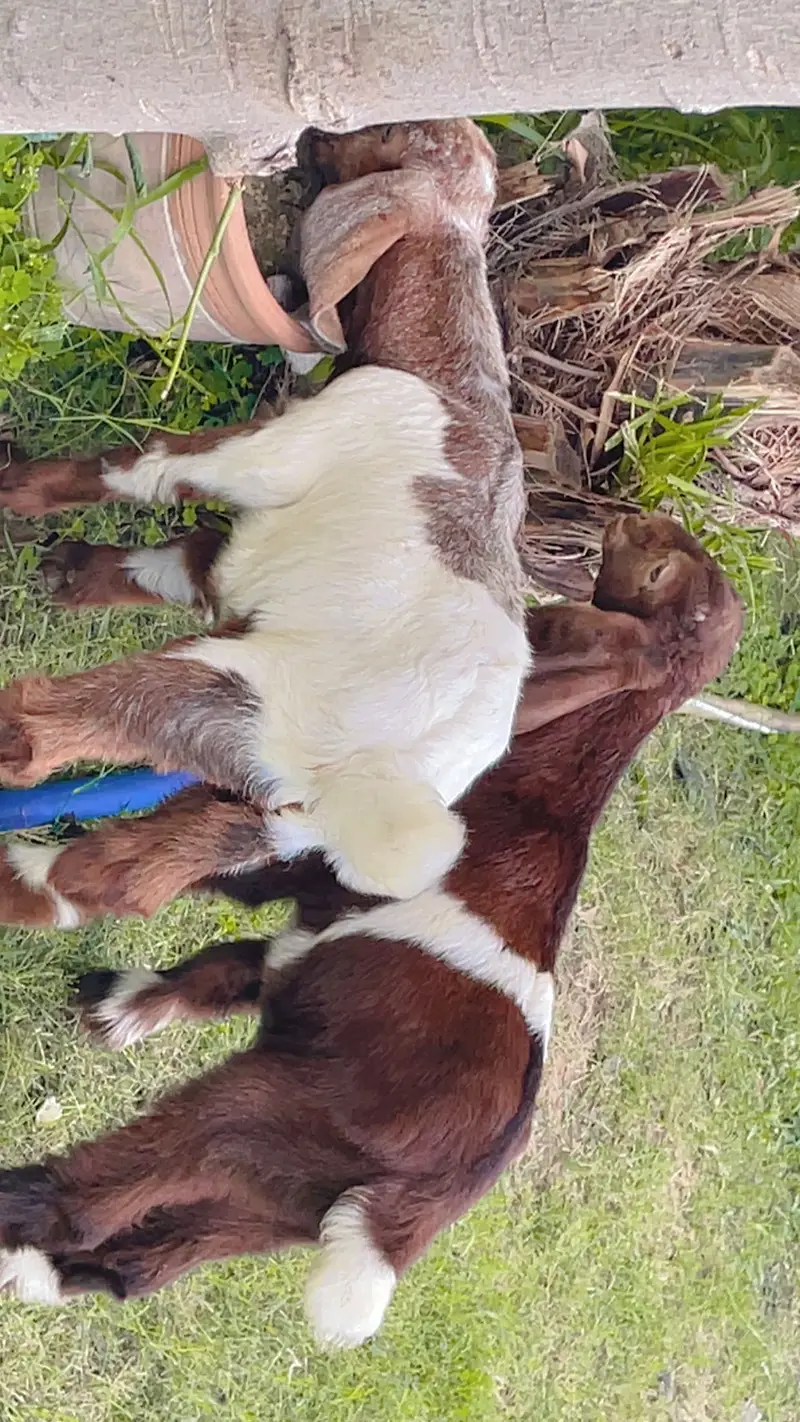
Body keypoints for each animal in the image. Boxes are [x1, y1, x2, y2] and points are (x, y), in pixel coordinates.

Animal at [0, 119, 529, 917]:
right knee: (124, 872)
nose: (311, 138)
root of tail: (385, 792)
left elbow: (140, 470)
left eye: (388, 132)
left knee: (43, 733)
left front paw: (13, 490)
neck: (449, 374)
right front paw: (70, 571)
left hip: (232, 693)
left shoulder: (267, 453)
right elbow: (190, 563)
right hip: (262, 810)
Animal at [0, 514, 742, 1346]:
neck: (544, 796)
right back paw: (37, 1270)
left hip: (254, 1116)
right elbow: (219, 964)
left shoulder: (288, 871)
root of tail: (429, 1203)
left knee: (99, 1198)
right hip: (266, 1204)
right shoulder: (305, 922)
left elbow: (152, 869)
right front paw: (118, 1008)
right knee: (139, 1259)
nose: (623, 520)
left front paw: (33, 882)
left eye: (658, 556)